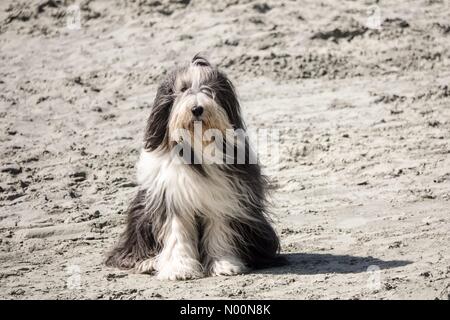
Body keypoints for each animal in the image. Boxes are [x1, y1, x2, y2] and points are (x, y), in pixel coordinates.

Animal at [105, 53, 282, 278]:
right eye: (183, 89)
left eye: (209, 89)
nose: (197, 108)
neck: (197, 146)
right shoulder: (171, 198)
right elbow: (177, 234)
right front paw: (179, 268)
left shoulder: (224, 198)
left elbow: (220, 231)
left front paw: (224, 264)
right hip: (141, 214)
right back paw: (147, 262)